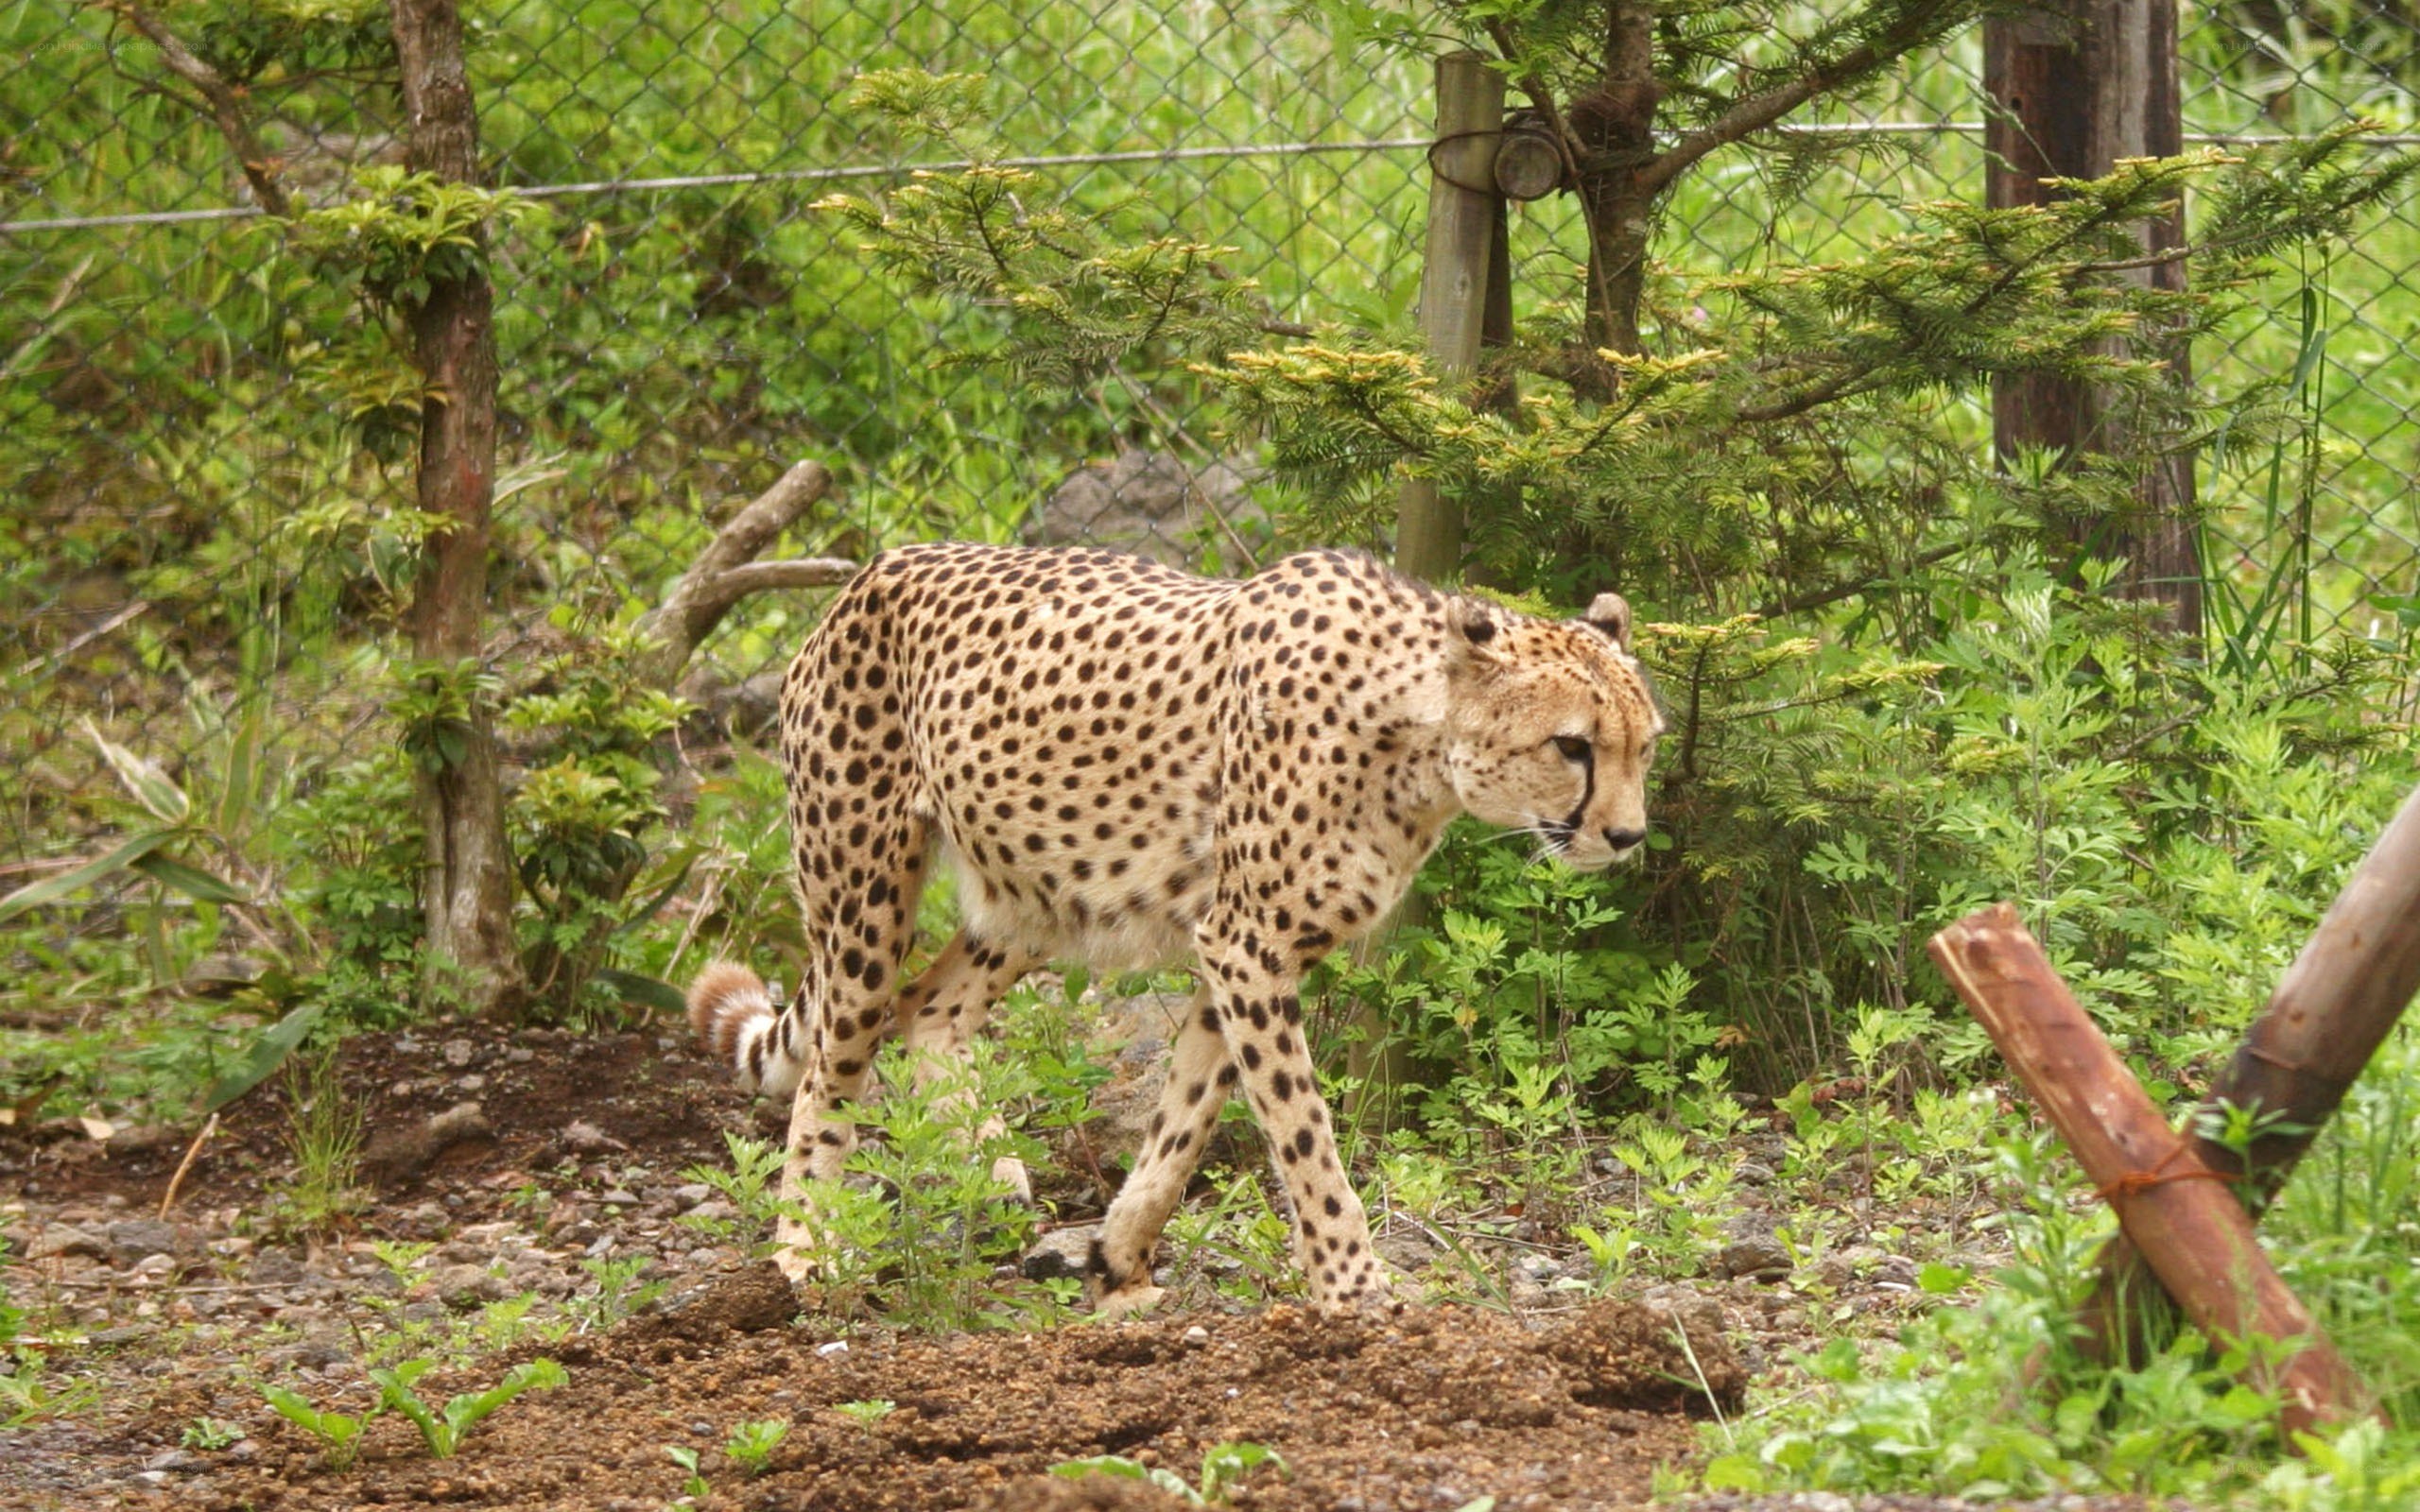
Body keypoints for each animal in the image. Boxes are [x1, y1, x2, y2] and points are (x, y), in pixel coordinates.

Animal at [687, 540, 1662, 1313]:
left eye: (1645, 745)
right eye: (1572, 746)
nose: (1627, 837)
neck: (1415, 742)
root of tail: (874, 568)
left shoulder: (1240, 948)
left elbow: (1187, 1119)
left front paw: (1119, 1259)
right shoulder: (1247, 943)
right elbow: (1303, 1134)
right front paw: (1357, 1289)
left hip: (1036, 883)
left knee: (928, 1007)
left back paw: (990, 1173)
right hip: (867, 895)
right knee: (830, 1070)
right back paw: (805, 1250)